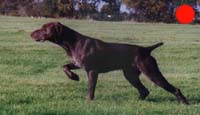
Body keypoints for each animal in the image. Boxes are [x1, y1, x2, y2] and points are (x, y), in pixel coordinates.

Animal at [30, 22, 188, 104]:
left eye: (44, 29)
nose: (31, 34)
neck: (73, 42)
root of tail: (145, 49)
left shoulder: (92, 71)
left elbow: (90, 89)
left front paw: (89, 101)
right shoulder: (79, 64)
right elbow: (65, 67)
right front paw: (74, 77)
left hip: (151, 72)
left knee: (174, 89)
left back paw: (184, 103)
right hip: (130, 75)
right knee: (144, 91)